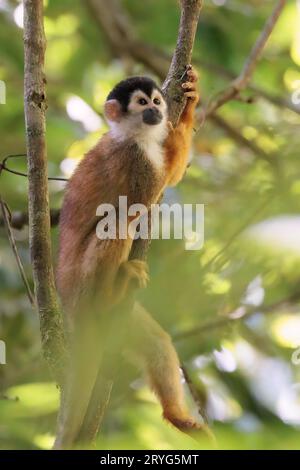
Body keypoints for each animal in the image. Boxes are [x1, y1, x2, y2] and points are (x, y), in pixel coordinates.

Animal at [56, 66, 202, 444]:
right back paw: (112, 290)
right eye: (140, 103)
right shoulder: (134, 159)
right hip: (84, 285)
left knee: (156, 344)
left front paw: (190, 102)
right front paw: (176, 133)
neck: (135, 136)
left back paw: (177, 416)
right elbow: (149, 196)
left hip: (122, 322)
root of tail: (71, 309)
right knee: (116, 220)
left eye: (156, 101)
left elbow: (170, 179)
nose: (156, 112)